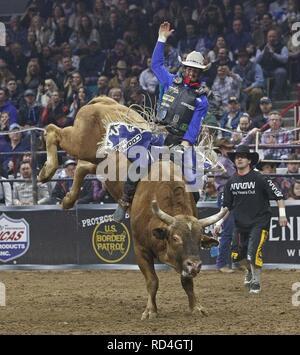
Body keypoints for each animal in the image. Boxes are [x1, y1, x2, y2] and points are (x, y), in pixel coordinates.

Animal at [38, 96, 227, 320]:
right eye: (175, 238)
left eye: (199, 239)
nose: (196, 265)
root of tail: (106, 102)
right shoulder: (140, 249)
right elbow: (152, 281)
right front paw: (150, 310)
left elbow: (187, 282)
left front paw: (196, 307)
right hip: (80, 141)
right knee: (53, 131)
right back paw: (47, 170)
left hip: (97, 159)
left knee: (82, 167)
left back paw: (68, 199)